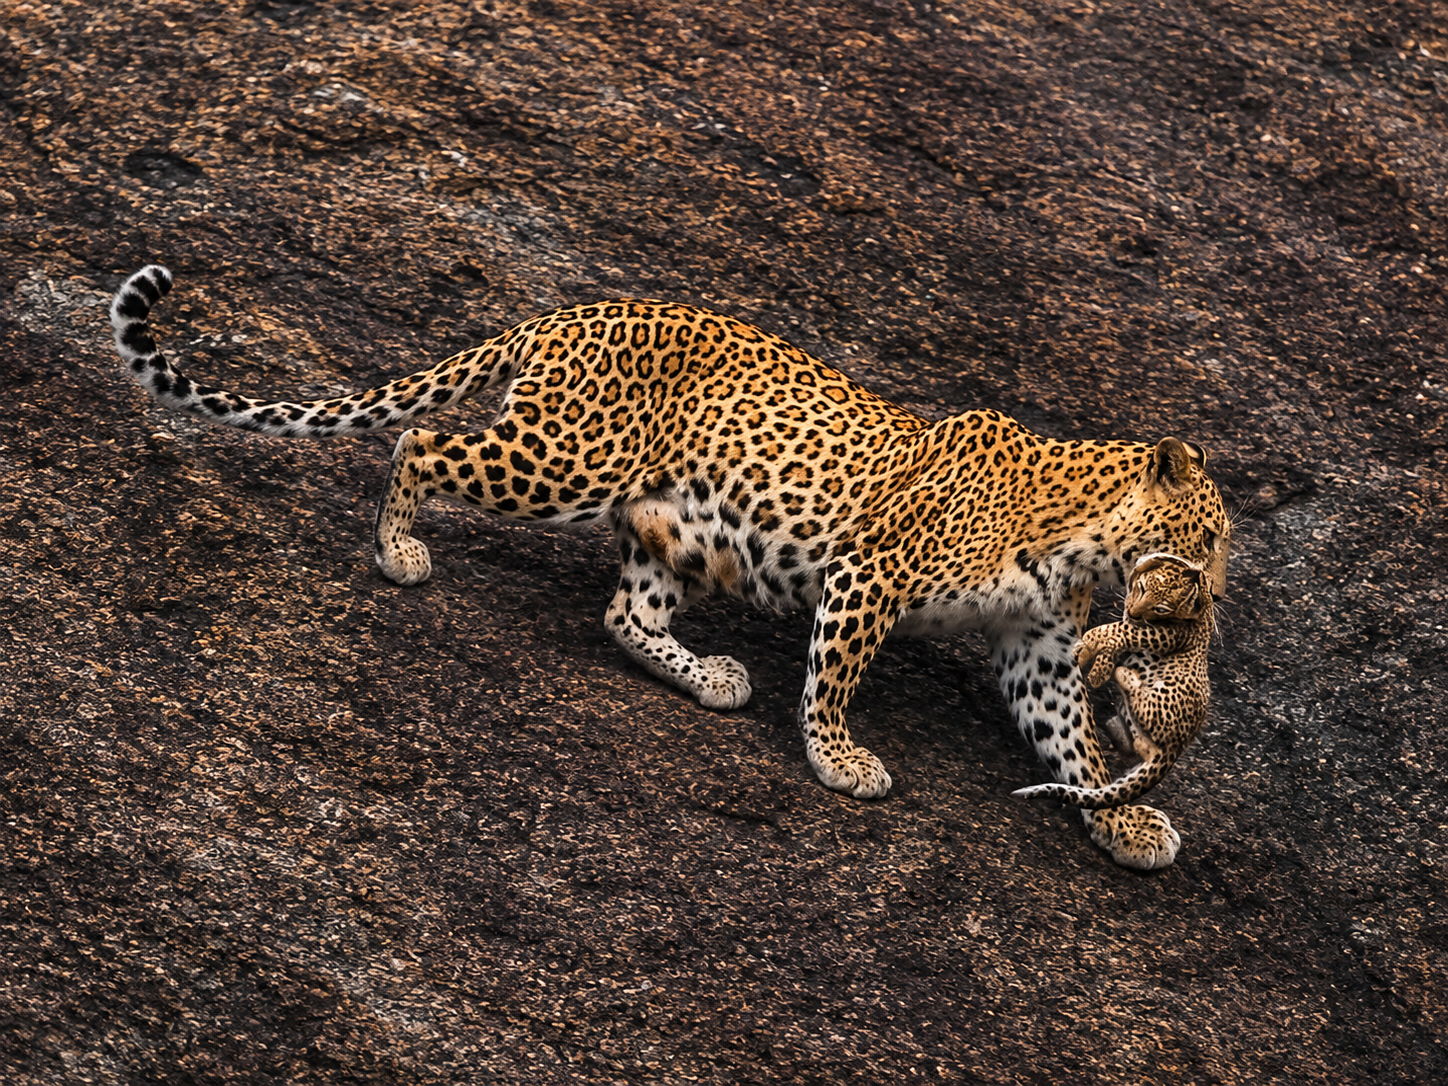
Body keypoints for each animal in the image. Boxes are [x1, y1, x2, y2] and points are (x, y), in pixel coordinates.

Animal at [1013, 552, 1213, 809]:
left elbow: (1119, 630)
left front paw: (1091, 653)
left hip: (1167, 697)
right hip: (1135, 723)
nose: (1136, 612)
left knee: (1145, 705)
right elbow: (1115, 635)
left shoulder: (1164, 635)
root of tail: (1178, 746)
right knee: (1142, 745)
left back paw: (1124, 674)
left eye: (1160, 609)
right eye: (1142, 588)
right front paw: (1091, 656)